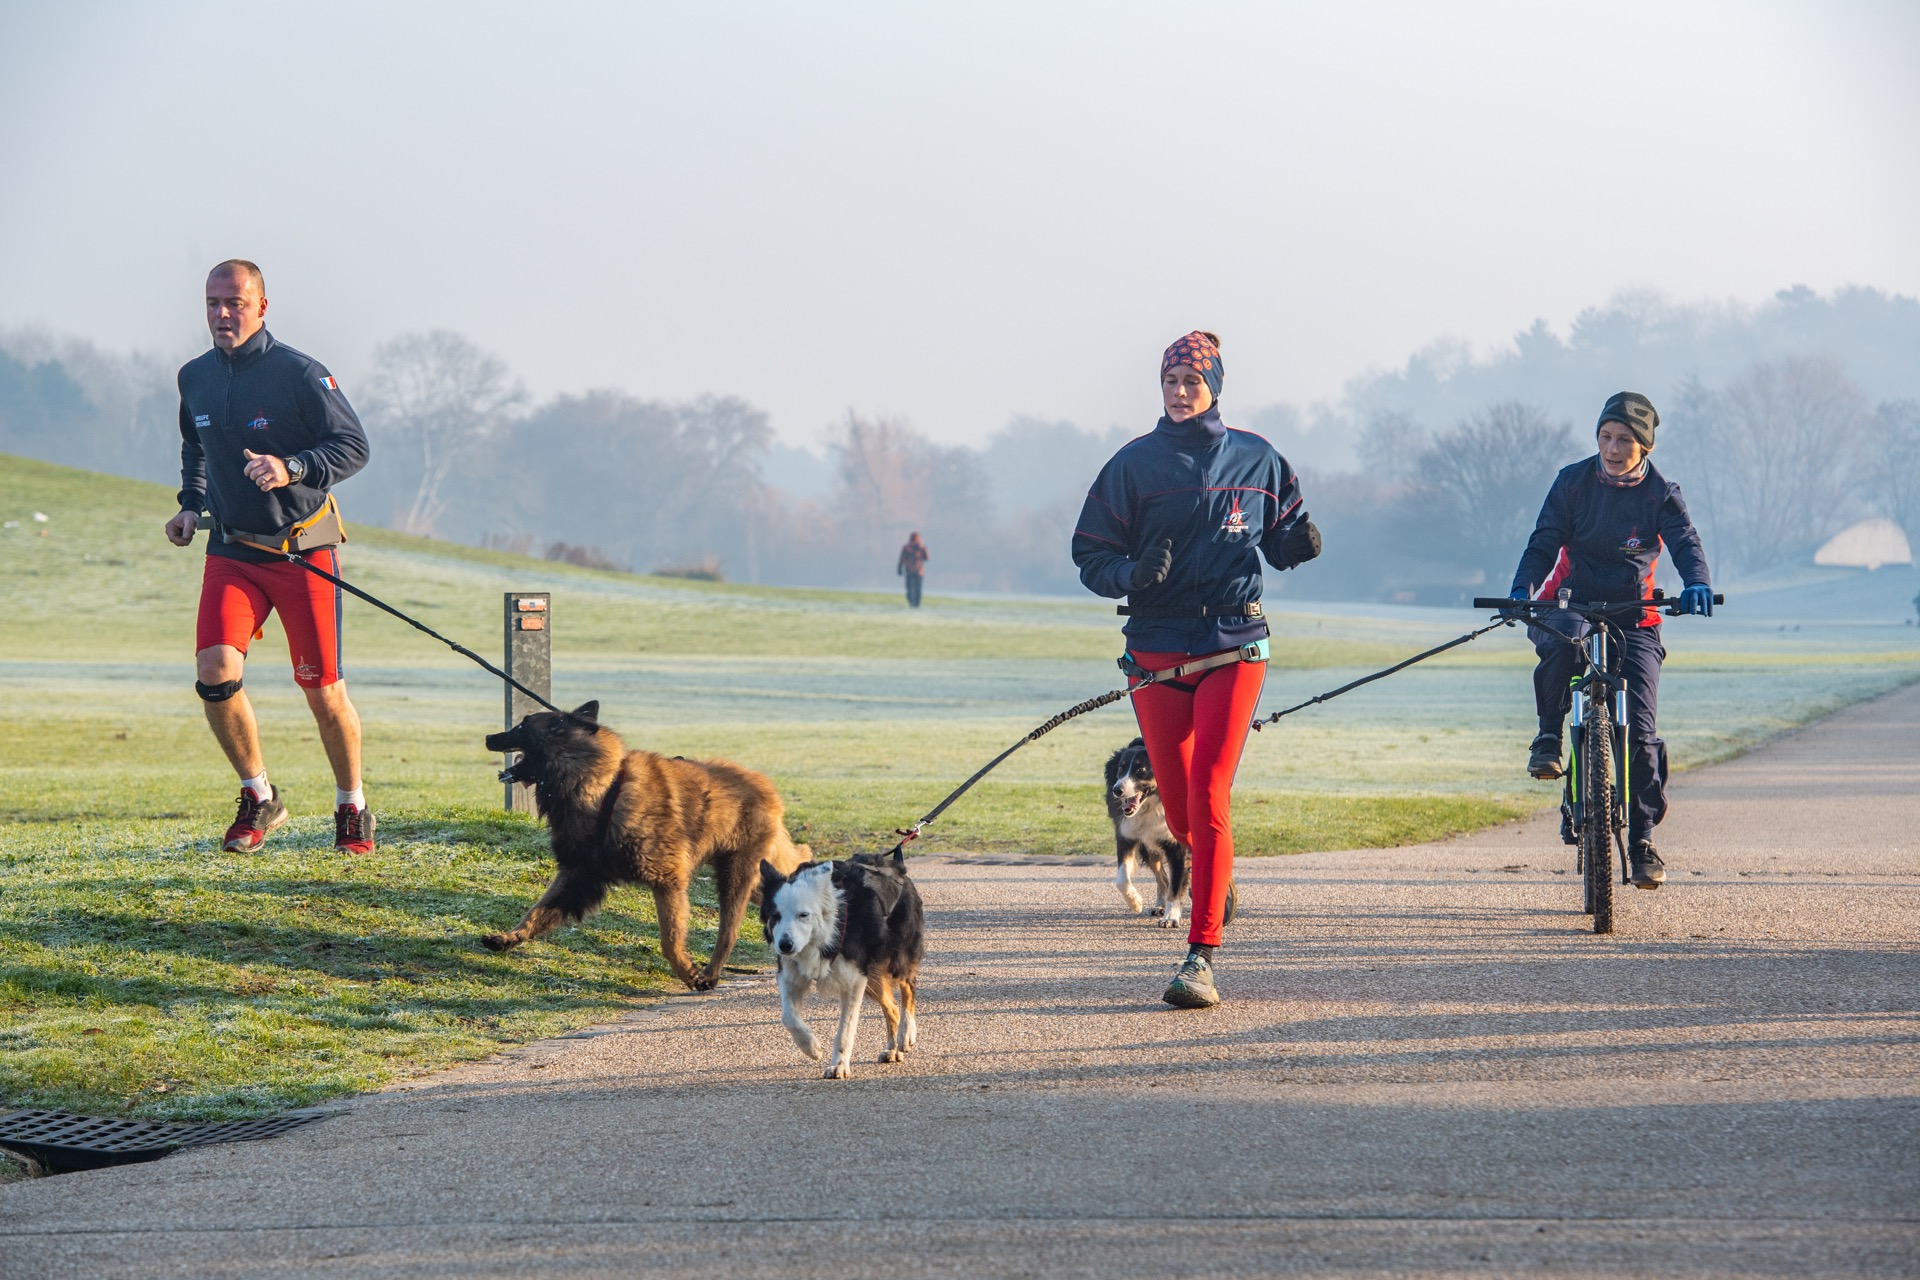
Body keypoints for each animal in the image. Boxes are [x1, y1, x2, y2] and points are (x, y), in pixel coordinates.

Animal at [487, 702, 810, 990]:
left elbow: (669, 940)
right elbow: (536, 911)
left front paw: (689, 973)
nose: (489, 737)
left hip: (735, 877)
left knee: (727, 933)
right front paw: (510, 937)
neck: (604, 789)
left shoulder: (666, 881)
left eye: (521, 726)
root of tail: (763, 784)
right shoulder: (578, 875)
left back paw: (710, 974)